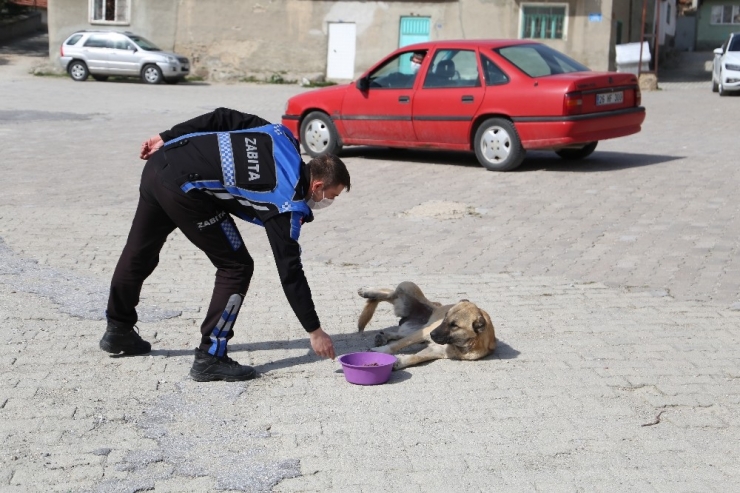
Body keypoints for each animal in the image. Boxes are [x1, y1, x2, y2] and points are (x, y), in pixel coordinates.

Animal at [358, 280, 498, 368]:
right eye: (445, 317)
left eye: (454, 325)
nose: (432, 334)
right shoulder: (423, 333)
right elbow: (397, 345)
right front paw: (380, 351)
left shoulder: (436, 350)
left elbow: (415, 357)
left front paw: (400, 361)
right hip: (408, 287)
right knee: (389, 294)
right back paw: (367, 291)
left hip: (413, 328)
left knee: (398, 333)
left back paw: (383, 336)